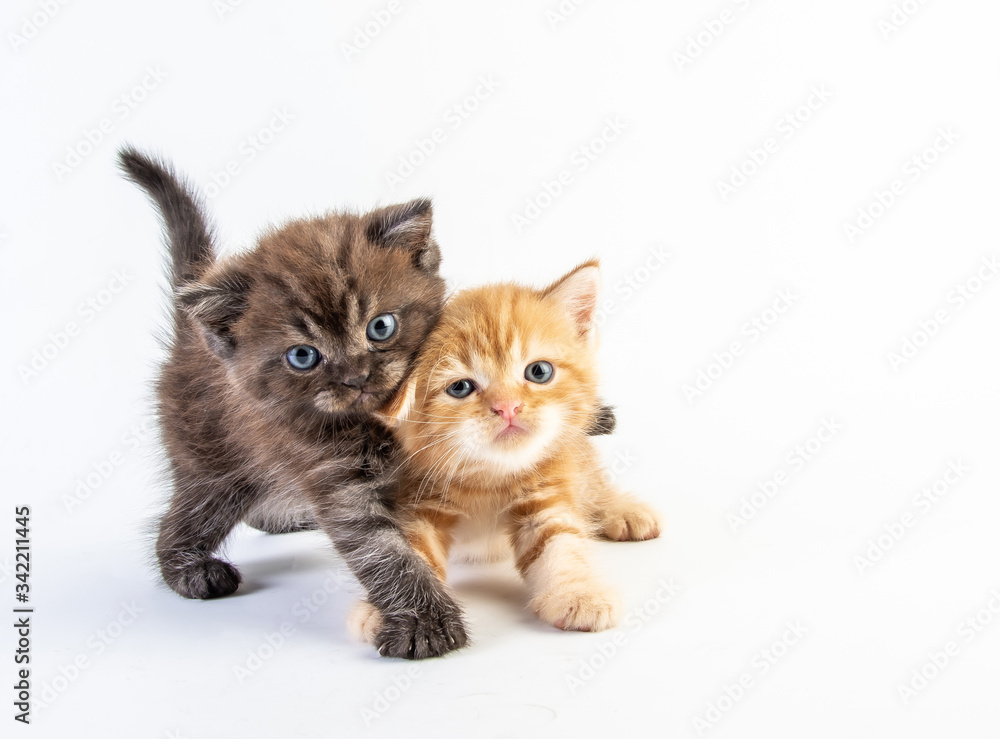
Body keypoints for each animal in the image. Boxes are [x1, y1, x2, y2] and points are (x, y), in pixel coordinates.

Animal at [120, 146, 468, 660]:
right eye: (303, 356)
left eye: (380, 326)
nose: (356, 377)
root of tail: (191, 340)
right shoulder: (336, 480)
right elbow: (384, 551)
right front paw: (424, 621)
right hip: (214, 468)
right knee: (180, 522)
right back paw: (191, 570)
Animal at [348, 262, 660, 640]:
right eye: (460, 387)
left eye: (539, 371)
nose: (508, 407)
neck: (487, 476)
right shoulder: (413, 500)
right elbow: (405, 554)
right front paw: (396, 611)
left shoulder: (547, 490)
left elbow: (561, 540)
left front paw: (578, 592)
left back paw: (621, 510)